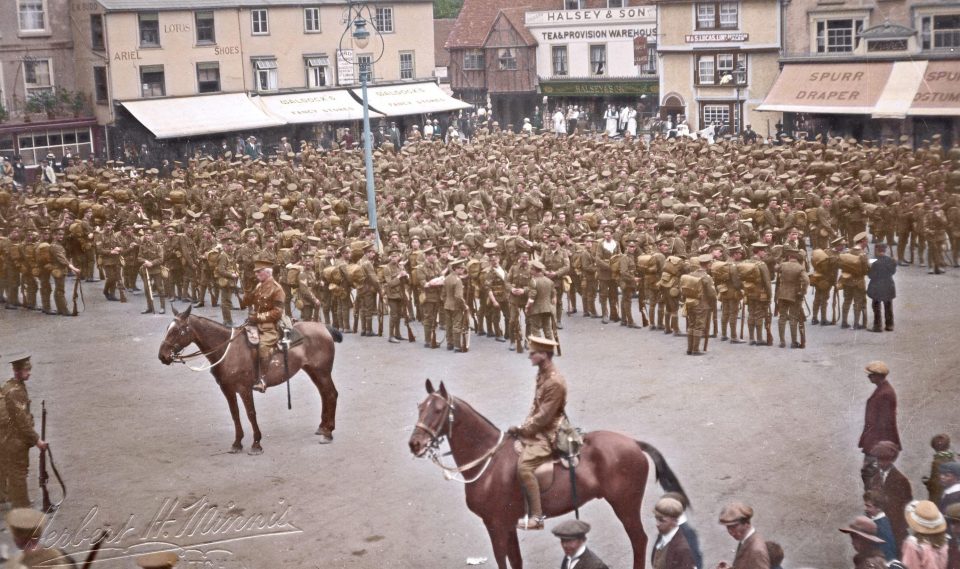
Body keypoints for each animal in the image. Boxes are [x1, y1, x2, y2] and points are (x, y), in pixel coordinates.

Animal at [160, 304, 344, 454]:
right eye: (167, 328)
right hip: (313, 371)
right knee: (324, 395)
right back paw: (323, 427)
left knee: (331, 394)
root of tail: (323, 326)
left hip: (322, 372)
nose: (162, 356)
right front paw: (237, 443)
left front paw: (256, 444)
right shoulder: (227, 389)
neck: (228, 349)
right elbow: (235, 414)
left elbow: (250, 413)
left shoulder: (244, 388)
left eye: (177, 330)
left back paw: (328, 433)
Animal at [408, 378, 688, 568]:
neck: (488, 462)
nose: (415, 444)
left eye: (438, 410)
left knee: (639, 540)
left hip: (625, 505)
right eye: (419, 407)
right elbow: (516, 561)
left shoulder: (495, 525)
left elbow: (502, 561)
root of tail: (633, 443)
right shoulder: (507, 525)